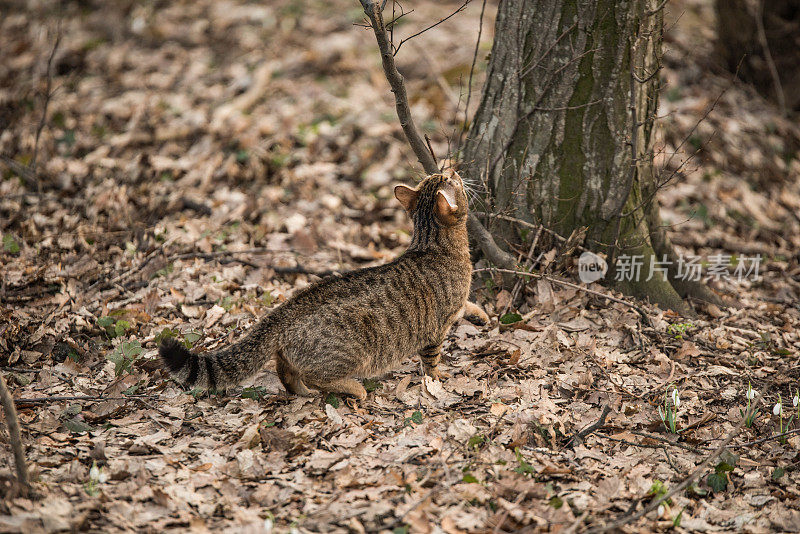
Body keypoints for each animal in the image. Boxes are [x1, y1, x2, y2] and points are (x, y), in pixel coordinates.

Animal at [158, 170, 488, 400]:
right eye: (451, 180)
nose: (451, 166)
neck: (431, 244)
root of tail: (283, 313)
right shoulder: (436, 330)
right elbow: (432, 364)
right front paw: (438, 381)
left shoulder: (456, 306)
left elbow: (469, 304)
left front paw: (482, 315)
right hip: (349, 355)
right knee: (316, 376)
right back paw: (353, 389)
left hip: (291, 354)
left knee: (285, 370)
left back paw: (302, 392)